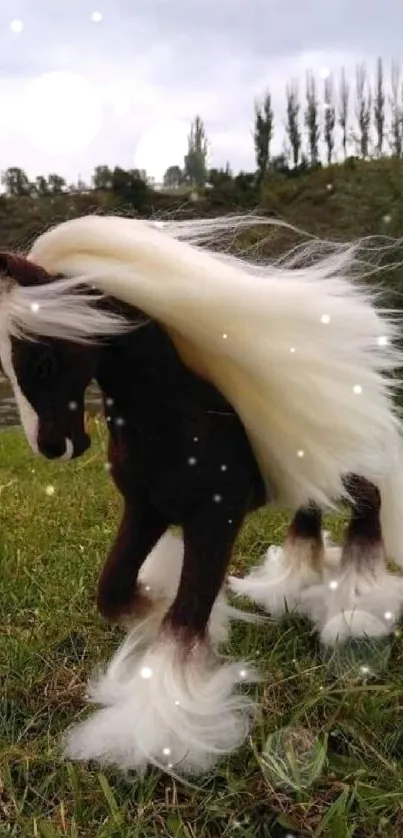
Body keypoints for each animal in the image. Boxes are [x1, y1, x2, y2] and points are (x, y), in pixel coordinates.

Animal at [3, 213, 403, 776]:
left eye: (39, 360)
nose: (53, 448)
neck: (172, 416)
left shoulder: (215, 519)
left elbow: (183, 619)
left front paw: (159, 730)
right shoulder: (144, 511)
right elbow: (115, 592)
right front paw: (180, 618)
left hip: (343, 472)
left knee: (367, 514)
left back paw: (355, 610)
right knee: (310, 517)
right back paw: (291, 585)